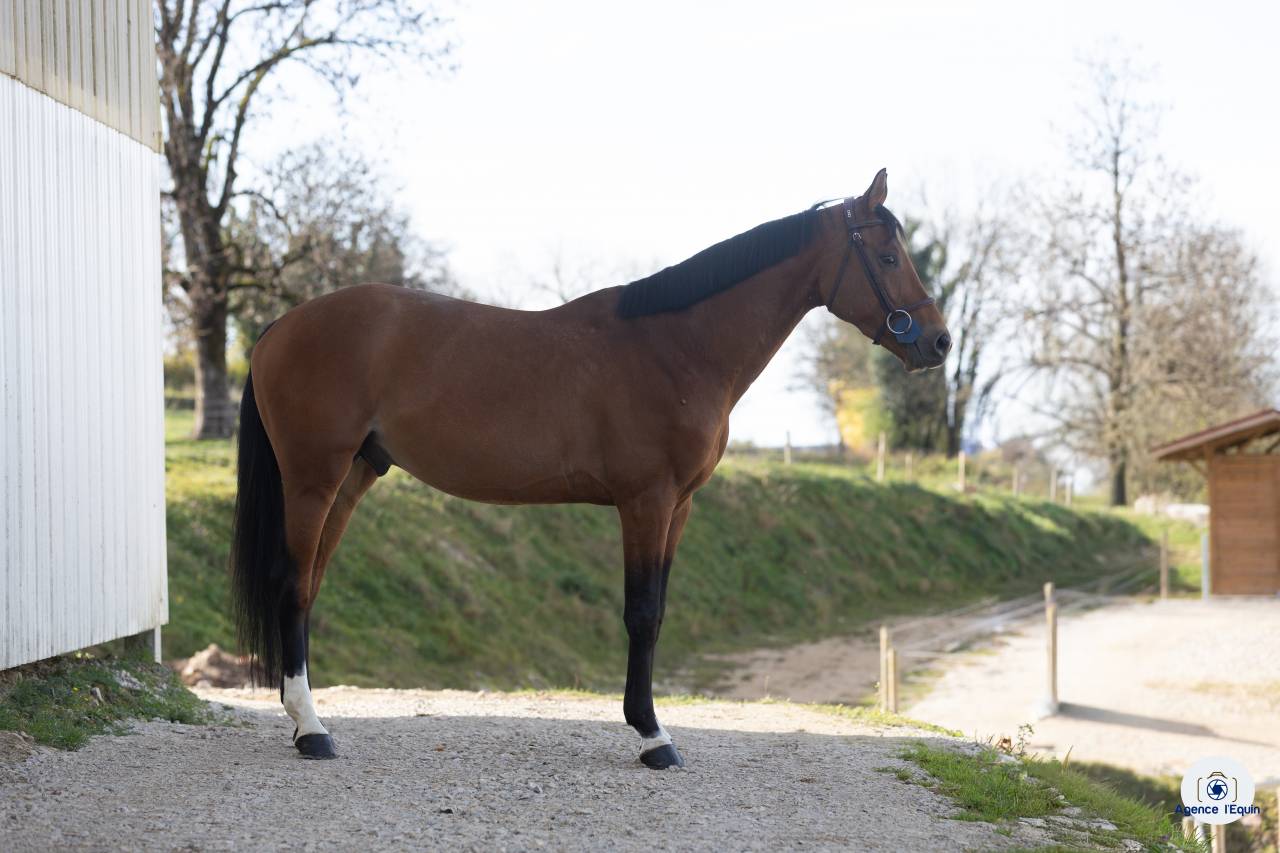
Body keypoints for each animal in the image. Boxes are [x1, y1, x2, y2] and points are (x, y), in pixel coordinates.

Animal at [230, 168, 950, 768]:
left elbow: (657, 609)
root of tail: (278, 327)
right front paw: (653, 736)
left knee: (309, 585)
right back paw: (312, 731)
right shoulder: (646, 501)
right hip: (314, 478)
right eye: (888, 256)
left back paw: (305, 720)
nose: (938, 342)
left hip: (354, 474)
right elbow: (643, 614)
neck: (677, 346)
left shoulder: (679, 506)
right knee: (291, 584)